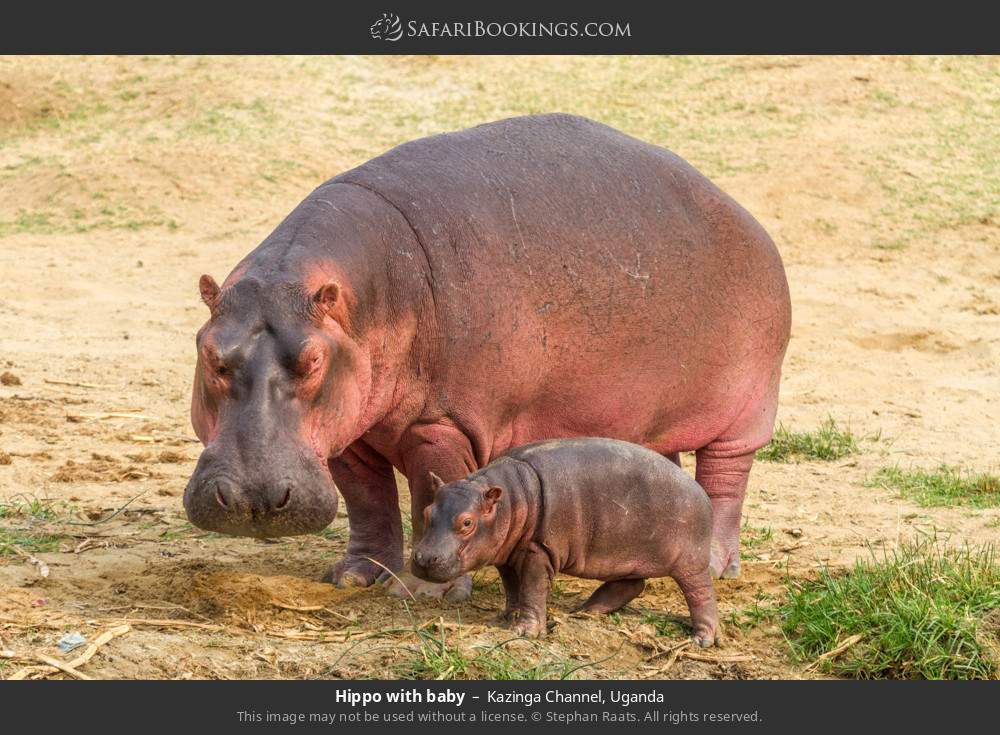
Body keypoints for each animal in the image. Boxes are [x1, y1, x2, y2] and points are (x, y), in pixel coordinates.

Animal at [184, 113, 792, 600]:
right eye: (208, 352)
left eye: (312, 361)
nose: (253, 499)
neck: (360, 297)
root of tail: (746, 215)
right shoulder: (349, 431)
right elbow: (367, 502)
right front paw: (356, 576)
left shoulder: (443, 425)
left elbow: (431, 490)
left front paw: (427, 592)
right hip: (643, 416)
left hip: (745, 409)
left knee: (726, 479)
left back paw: (716, 563)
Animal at [412, 440, 720, 648]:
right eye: (427, 512)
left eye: (466, 522)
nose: (424, 559)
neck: (510, 498)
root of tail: (701, 492)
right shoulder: (507, 553)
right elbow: (512, 586)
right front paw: (508, 617)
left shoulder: (538, 550)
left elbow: (532, 589)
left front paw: (525, 632)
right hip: (627, 554)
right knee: (632, 584)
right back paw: (585, 611)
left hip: (690, 561)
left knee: (701, 593)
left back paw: (703, 640)